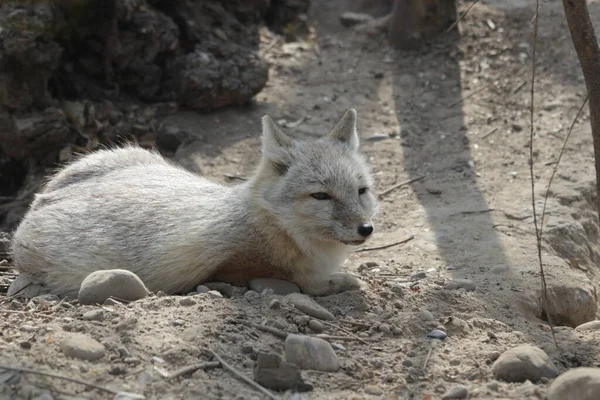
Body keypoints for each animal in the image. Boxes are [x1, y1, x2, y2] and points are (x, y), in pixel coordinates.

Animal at [7, 108, 378, 298]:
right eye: (321, 196)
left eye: (361, 191)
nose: (366, 228)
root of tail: (40, 202)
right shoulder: (236, 262)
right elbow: (303, 282)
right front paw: (337, 281)